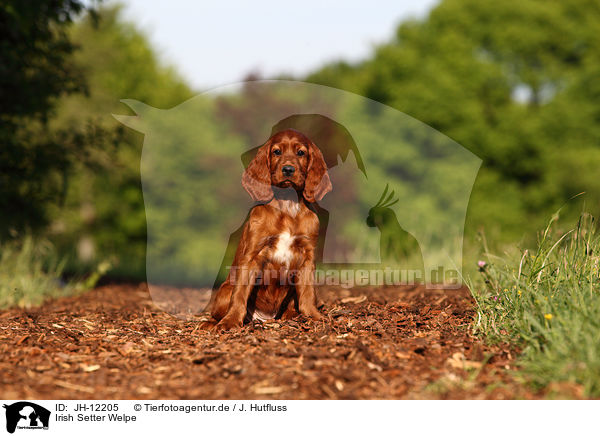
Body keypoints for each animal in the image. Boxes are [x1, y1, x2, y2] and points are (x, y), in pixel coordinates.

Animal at [203, 129, 332, 330]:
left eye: (301, 153)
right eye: (276, 152)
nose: (288, 170)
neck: (287, 203)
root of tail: (265, 317)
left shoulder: (307, 256)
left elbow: (307, 293)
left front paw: (314, 317)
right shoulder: (252, 256)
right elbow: (240, 293)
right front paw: (230, 321)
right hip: (225, 290)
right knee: (219, 311)